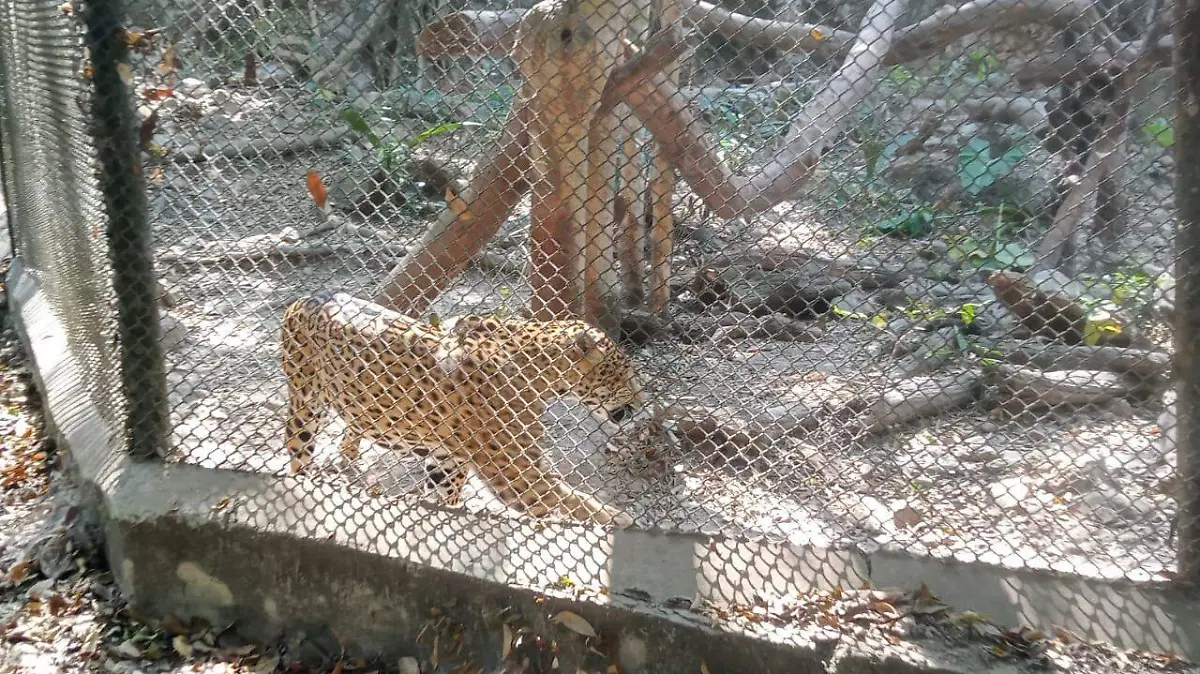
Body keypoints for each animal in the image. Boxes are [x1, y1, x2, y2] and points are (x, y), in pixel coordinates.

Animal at [280, 290, 644, 528]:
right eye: (625, 373)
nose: (641, 403)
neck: (541, 373)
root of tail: (307, 297)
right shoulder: (518, 477)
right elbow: (571, 502)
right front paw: (620, 520)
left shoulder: (447, 460)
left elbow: (447, 497)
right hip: (305, 402)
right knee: (298, 451)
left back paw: (349, 455)